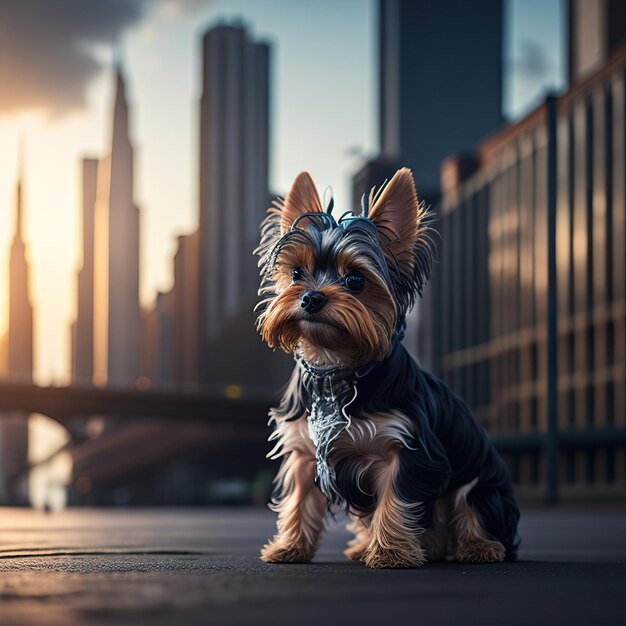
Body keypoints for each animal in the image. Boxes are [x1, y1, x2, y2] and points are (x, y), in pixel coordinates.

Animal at [252, 166, 516, 564]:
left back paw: (479, 547)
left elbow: (397, 500)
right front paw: (289, 547)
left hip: (483, 485)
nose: (311, 297)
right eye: (297, 273)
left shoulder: (408, 448)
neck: (335, 361)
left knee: (470, 505)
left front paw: (390, 553)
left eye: (355, 280)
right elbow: (299, 499)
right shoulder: (305, 450)